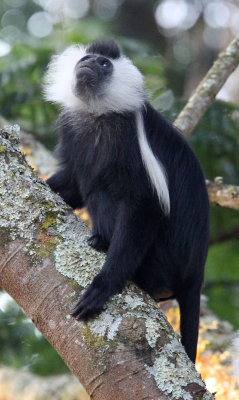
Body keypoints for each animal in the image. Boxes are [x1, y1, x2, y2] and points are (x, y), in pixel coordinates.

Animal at [44, 39, 209, 362]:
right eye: (86, 58)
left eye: (104, 64)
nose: (89, 62)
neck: (98, 115)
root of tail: (194, 276)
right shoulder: (73, 133)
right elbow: (74, 183)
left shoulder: (130, 139)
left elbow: (146, 206)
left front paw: (103, 285)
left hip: (164, 260)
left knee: (106, 196)